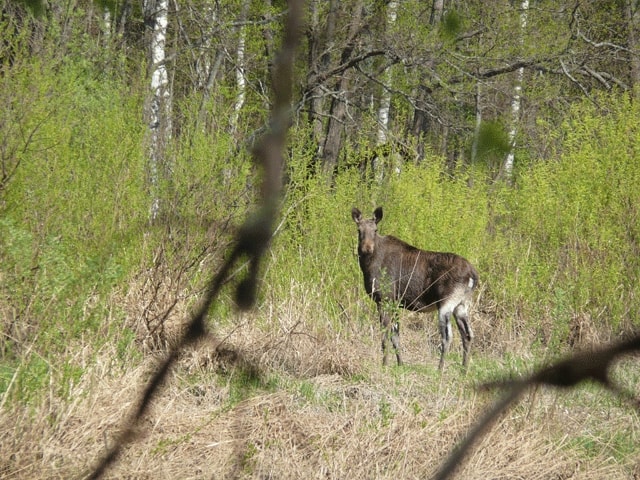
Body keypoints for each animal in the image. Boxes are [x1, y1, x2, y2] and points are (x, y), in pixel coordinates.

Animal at [352, 207, 478, 372]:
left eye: (375, 230)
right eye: (359, 230)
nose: (367, 249)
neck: (367, 267)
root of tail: (473, 275)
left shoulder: (384, 299)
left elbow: (385, 336)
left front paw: (384, 365)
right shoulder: (395, 302)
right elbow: (395, 336)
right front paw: (400, 364)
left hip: (446, 303)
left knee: (447, 336)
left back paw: (440, 369)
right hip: (462, 305)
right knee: (468, 334)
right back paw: (464, 370)